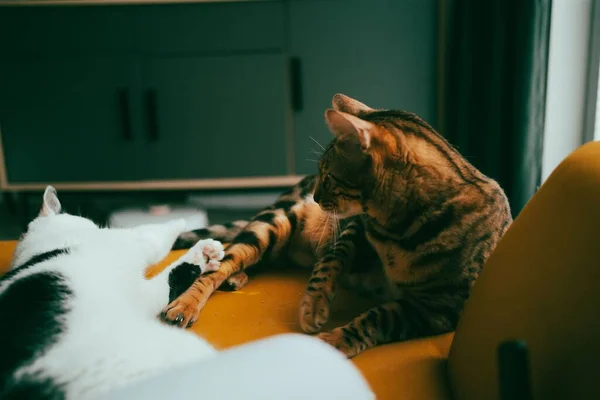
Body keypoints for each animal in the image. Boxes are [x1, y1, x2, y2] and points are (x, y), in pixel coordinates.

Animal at [164, 94, 510, 360]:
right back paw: (189, 301)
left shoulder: (440, 308)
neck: (397, 229)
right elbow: (331, 260)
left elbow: (378, 318)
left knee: (253, 257)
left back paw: (238, 277)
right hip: (275, 222)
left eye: (328, 175)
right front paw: (314, 304)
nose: (316, 197)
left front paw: (333, 341)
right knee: (225, 260)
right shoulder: (353, 226)